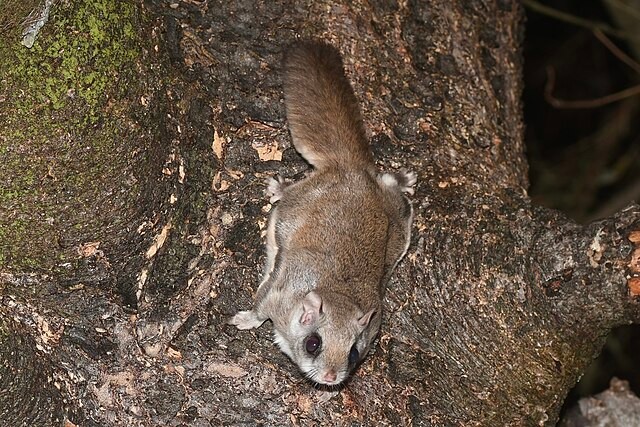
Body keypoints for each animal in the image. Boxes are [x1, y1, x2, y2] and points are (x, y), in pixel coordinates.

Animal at [230, 41, 415, 386]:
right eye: (313, 343)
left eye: (354, 354)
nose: (330, 378)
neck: (337, 293)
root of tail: (351, 171)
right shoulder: (276, 294)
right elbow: (260, 308)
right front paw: (245, 319)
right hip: (298, 205)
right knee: (291, 196)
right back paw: (279, 188)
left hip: (399, 226)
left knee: (388, 185)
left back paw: (402, 180)